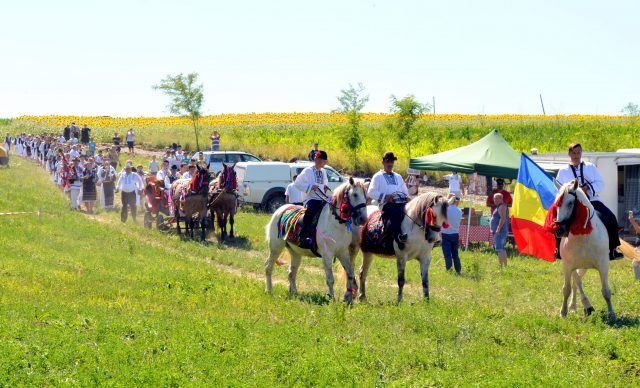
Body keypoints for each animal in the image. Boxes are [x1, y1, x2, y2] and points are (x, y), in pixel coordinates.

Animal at [544, 180, 616, 320]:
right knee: (576, 282)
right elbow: (567, 288)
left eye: (570, 203)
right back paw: (578, 306)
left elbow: (606, 291)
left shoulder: (603, 265)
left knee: (577, 282)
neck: (583, 236)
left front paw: (611, 314)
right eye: (556, 203)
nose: (559, 230)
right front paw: (563, 312)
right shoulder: (567, 265)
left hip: (584, 267)